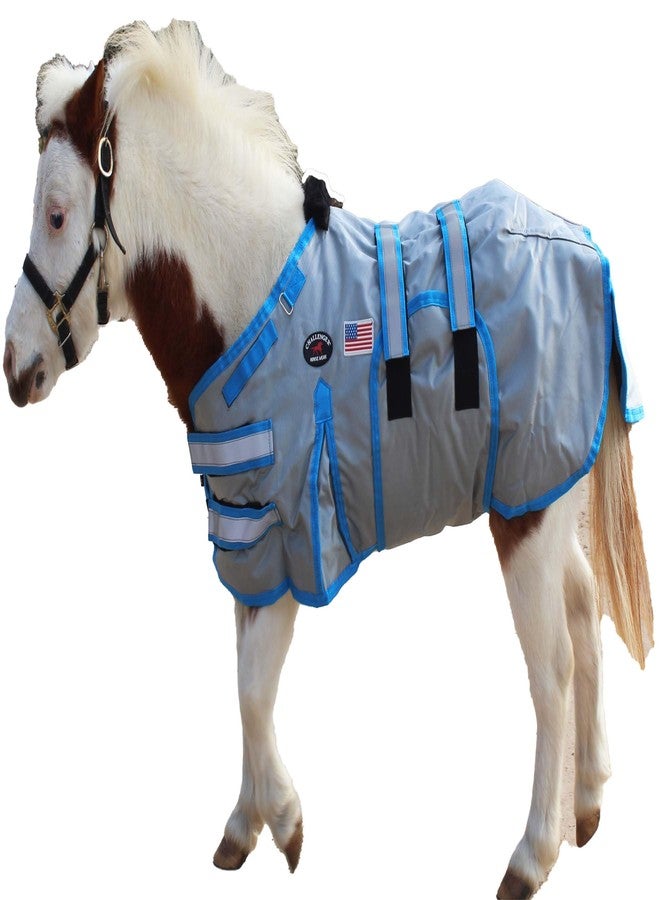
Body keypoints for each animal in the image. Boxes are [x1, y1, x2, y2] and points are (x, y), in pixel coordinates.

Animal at [3, 20, 653, 899]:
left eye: (58, 214)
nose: (16, 367)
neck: (250, 302)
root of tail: (583, 251)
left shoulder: (289, 535)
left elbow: (252, 689)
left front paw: (285, 821)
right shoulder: (245, 538)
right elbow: (244, 678)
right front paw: (245, 824)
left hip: (524, 518)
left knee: (549, 670)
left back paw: (533, 853)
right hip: (542, 501)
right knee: (584, 621)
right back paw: (585, 805)